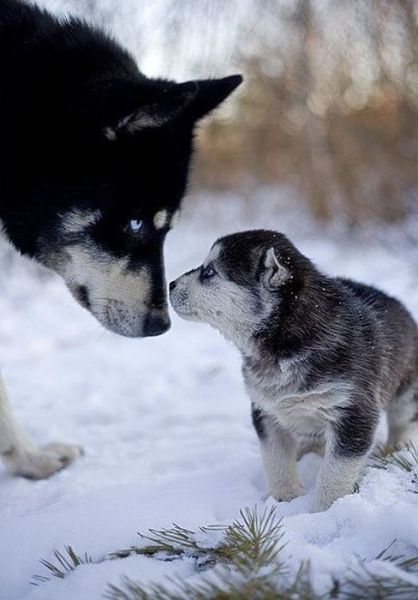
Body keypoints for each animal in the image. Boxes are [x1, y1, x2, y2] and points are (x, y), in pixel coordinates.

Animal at [170, 230, 418, 510]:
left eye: (209, 272)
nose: (170, 285)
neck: (285, 344)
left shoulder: (354, 411)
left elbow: (335, 472)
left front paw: (326, 509)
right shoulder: (266, 411)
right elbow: (275, 458)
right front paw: (284, 498)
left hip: (407, 392)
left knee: (402, 421)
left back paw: (397, 449)